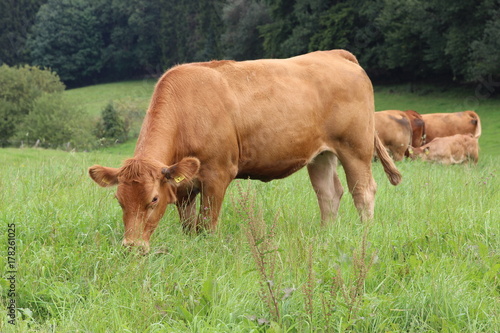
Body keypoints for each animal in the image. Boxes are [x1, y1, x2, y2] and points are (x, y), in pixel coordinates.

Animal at [89, 49, 402, 252]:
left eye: (153, 199)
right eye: (119, 199)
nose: (131, 247)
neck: (186, 112)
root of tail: (336, 54)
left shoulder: (217, 174)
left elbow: (207, 225)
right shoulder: (184, 186)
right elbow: (189, 226)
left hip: (355, 146)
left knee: (363, 191)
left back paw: (364, 235)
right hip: (321, 155)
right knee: (328, 193)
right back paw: (326, 235)